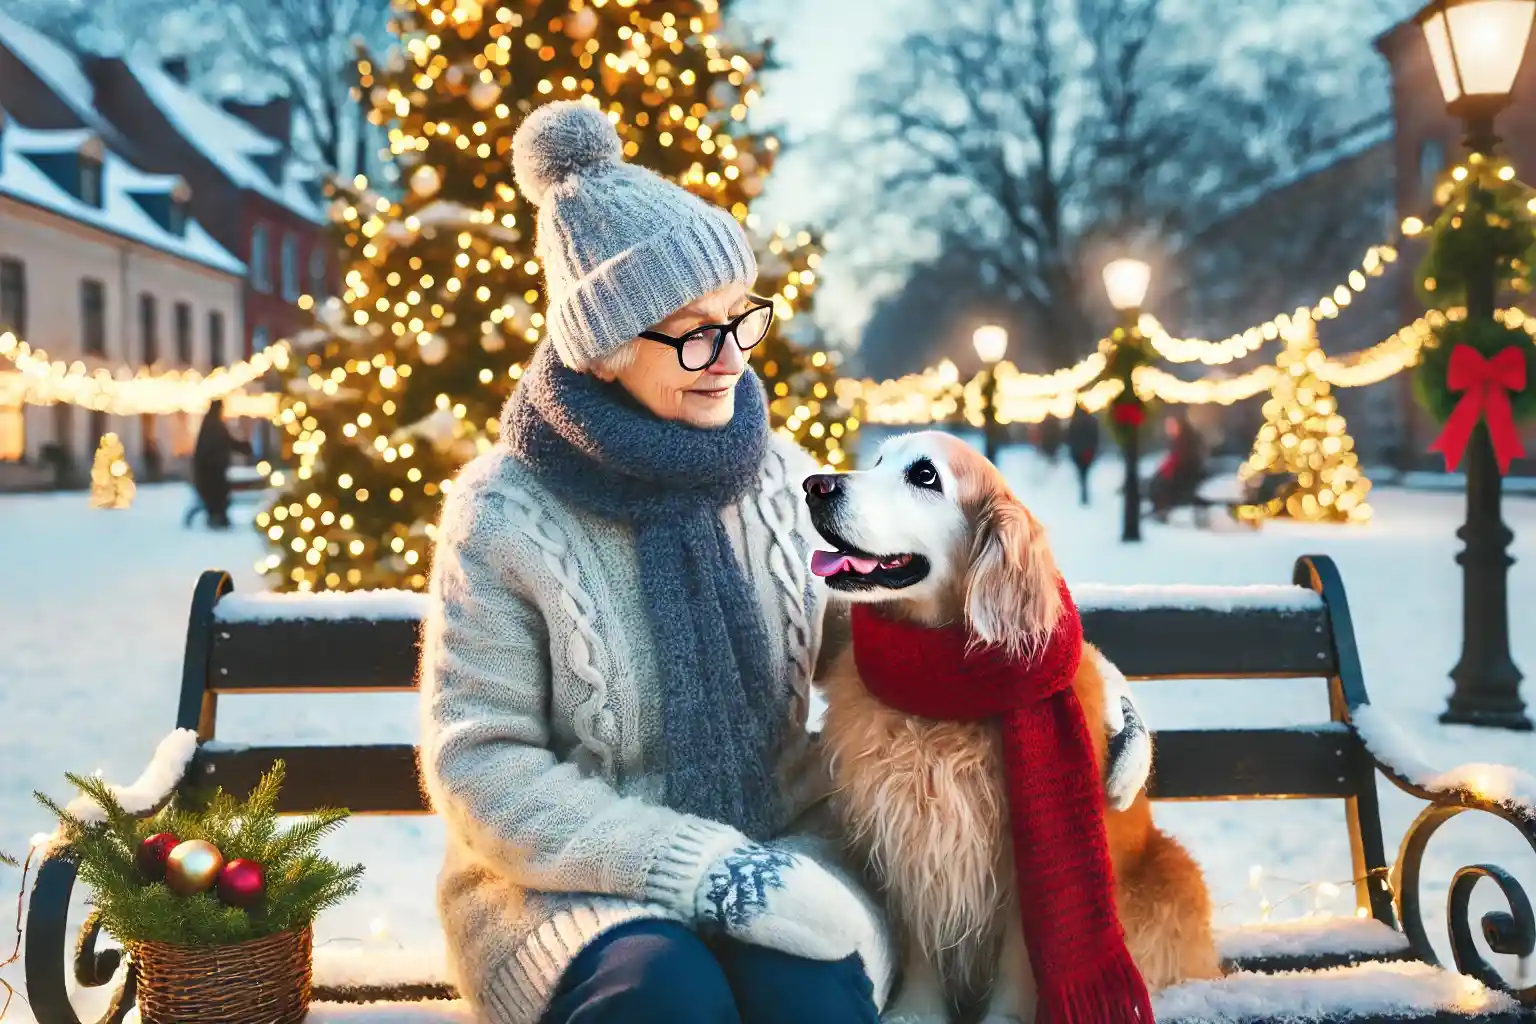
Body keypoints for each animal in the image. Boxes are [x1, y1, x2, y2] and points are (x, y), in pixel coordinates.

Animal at [811, 432, 1216, 1024]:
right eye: (879, 459)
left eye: (925, 475)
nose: (814, 484)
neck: (944, 692)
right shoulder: (911, 841)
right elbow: (923, 948)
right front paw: (915, 1012)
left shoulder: (1020, 869)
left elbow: (1020, 963)